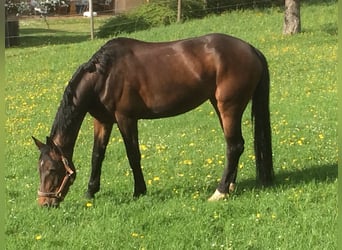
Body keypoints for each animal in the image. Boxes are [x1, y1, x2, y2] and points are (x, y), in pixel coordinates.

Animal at [32, 33, 272, 208]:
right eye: (39, 168)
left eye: (52, 169)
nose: (44, 203)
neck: (104, 74)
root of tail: (251, 49)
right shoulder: (103, 121)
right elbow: (97, 156)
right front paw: (90, 191)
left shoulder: (126, 119)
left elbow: (133, 156)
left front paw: (139, 191)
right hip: (220, 106)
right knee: (235, 146)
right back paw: (230, 186)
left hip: (229, 107)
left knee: (234, 146)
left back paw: (219, 192)